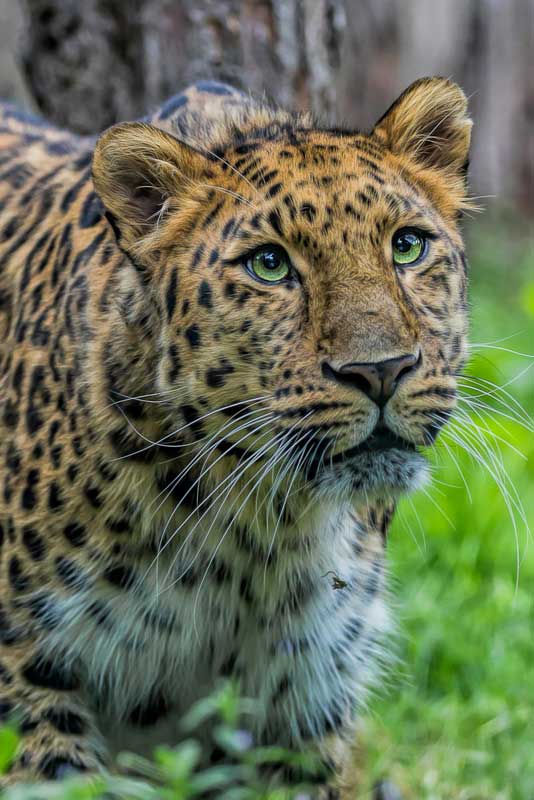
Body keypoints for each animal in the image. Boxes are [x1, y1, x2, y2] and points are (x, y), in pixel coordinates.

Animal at [0, 77, 472, 796]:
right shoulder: (33, 679)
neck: (256, 536)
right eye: (270, 265)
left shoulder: (303, 704)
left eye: (408, 246)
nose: (382, 370)